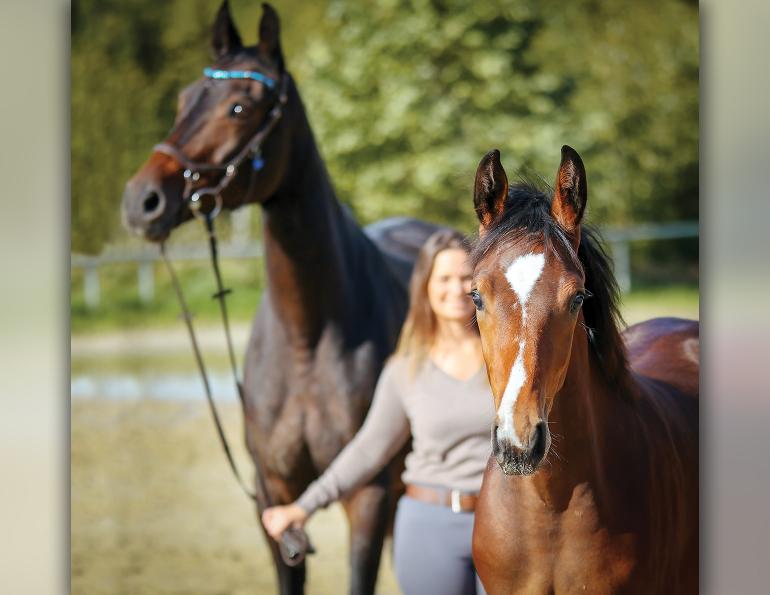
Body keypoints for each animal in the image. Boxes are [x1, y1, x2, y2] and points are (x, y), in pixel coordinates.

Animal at [121, 3, 439, 593]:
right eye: (182, 99)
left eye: (240, 106)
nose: (142, 201)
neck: (307, 340)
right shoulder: (273, 499)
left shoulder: (369, 494)